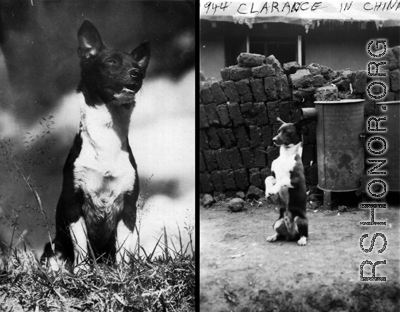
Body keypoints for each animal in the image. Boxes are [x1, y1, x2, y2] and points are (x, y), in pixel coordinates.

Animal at [41, 20, 150, 272]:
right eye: (111, 62)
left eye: (137, 66)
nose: (138, 73)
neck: (107, 134)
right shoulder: (74, 204)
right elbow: (81, 244)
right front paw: (82, 272)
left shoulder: (128, 208)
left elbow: (123, 247)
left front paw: (122, 273)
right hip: (52, 249)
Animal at [266, 117, 310, 246]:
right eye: (278, 131)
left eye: (287, 132)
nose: (274, 139)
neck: (285, 156)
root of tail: (290, 235)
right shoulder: (274, 176)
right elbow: (268, 178)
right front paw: (268, 191)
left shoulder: (297, 180)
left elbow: (283, 179)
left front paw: (273, 190)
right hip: (277, 223)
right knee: (279, 234)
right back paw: (273, 236)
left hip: (300, 220)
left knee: (304, 233)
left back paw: (302, 239)